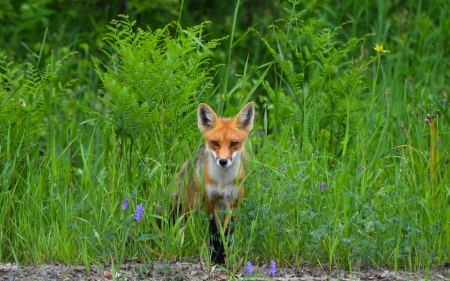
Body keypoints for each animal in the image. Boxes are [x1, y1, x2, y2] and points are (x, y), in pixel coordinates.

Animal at [175, 100, 255, 260]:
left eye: (234, 143)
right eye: (215, 143)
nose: (223, 161)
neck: (222, 182)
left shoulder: (233, 202)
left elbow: (227, 231)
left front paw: (222, 256)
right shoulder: (211, 199)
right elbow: (215, 231)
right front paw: (214, 255)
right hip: (191, 204)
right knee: (182, 224)